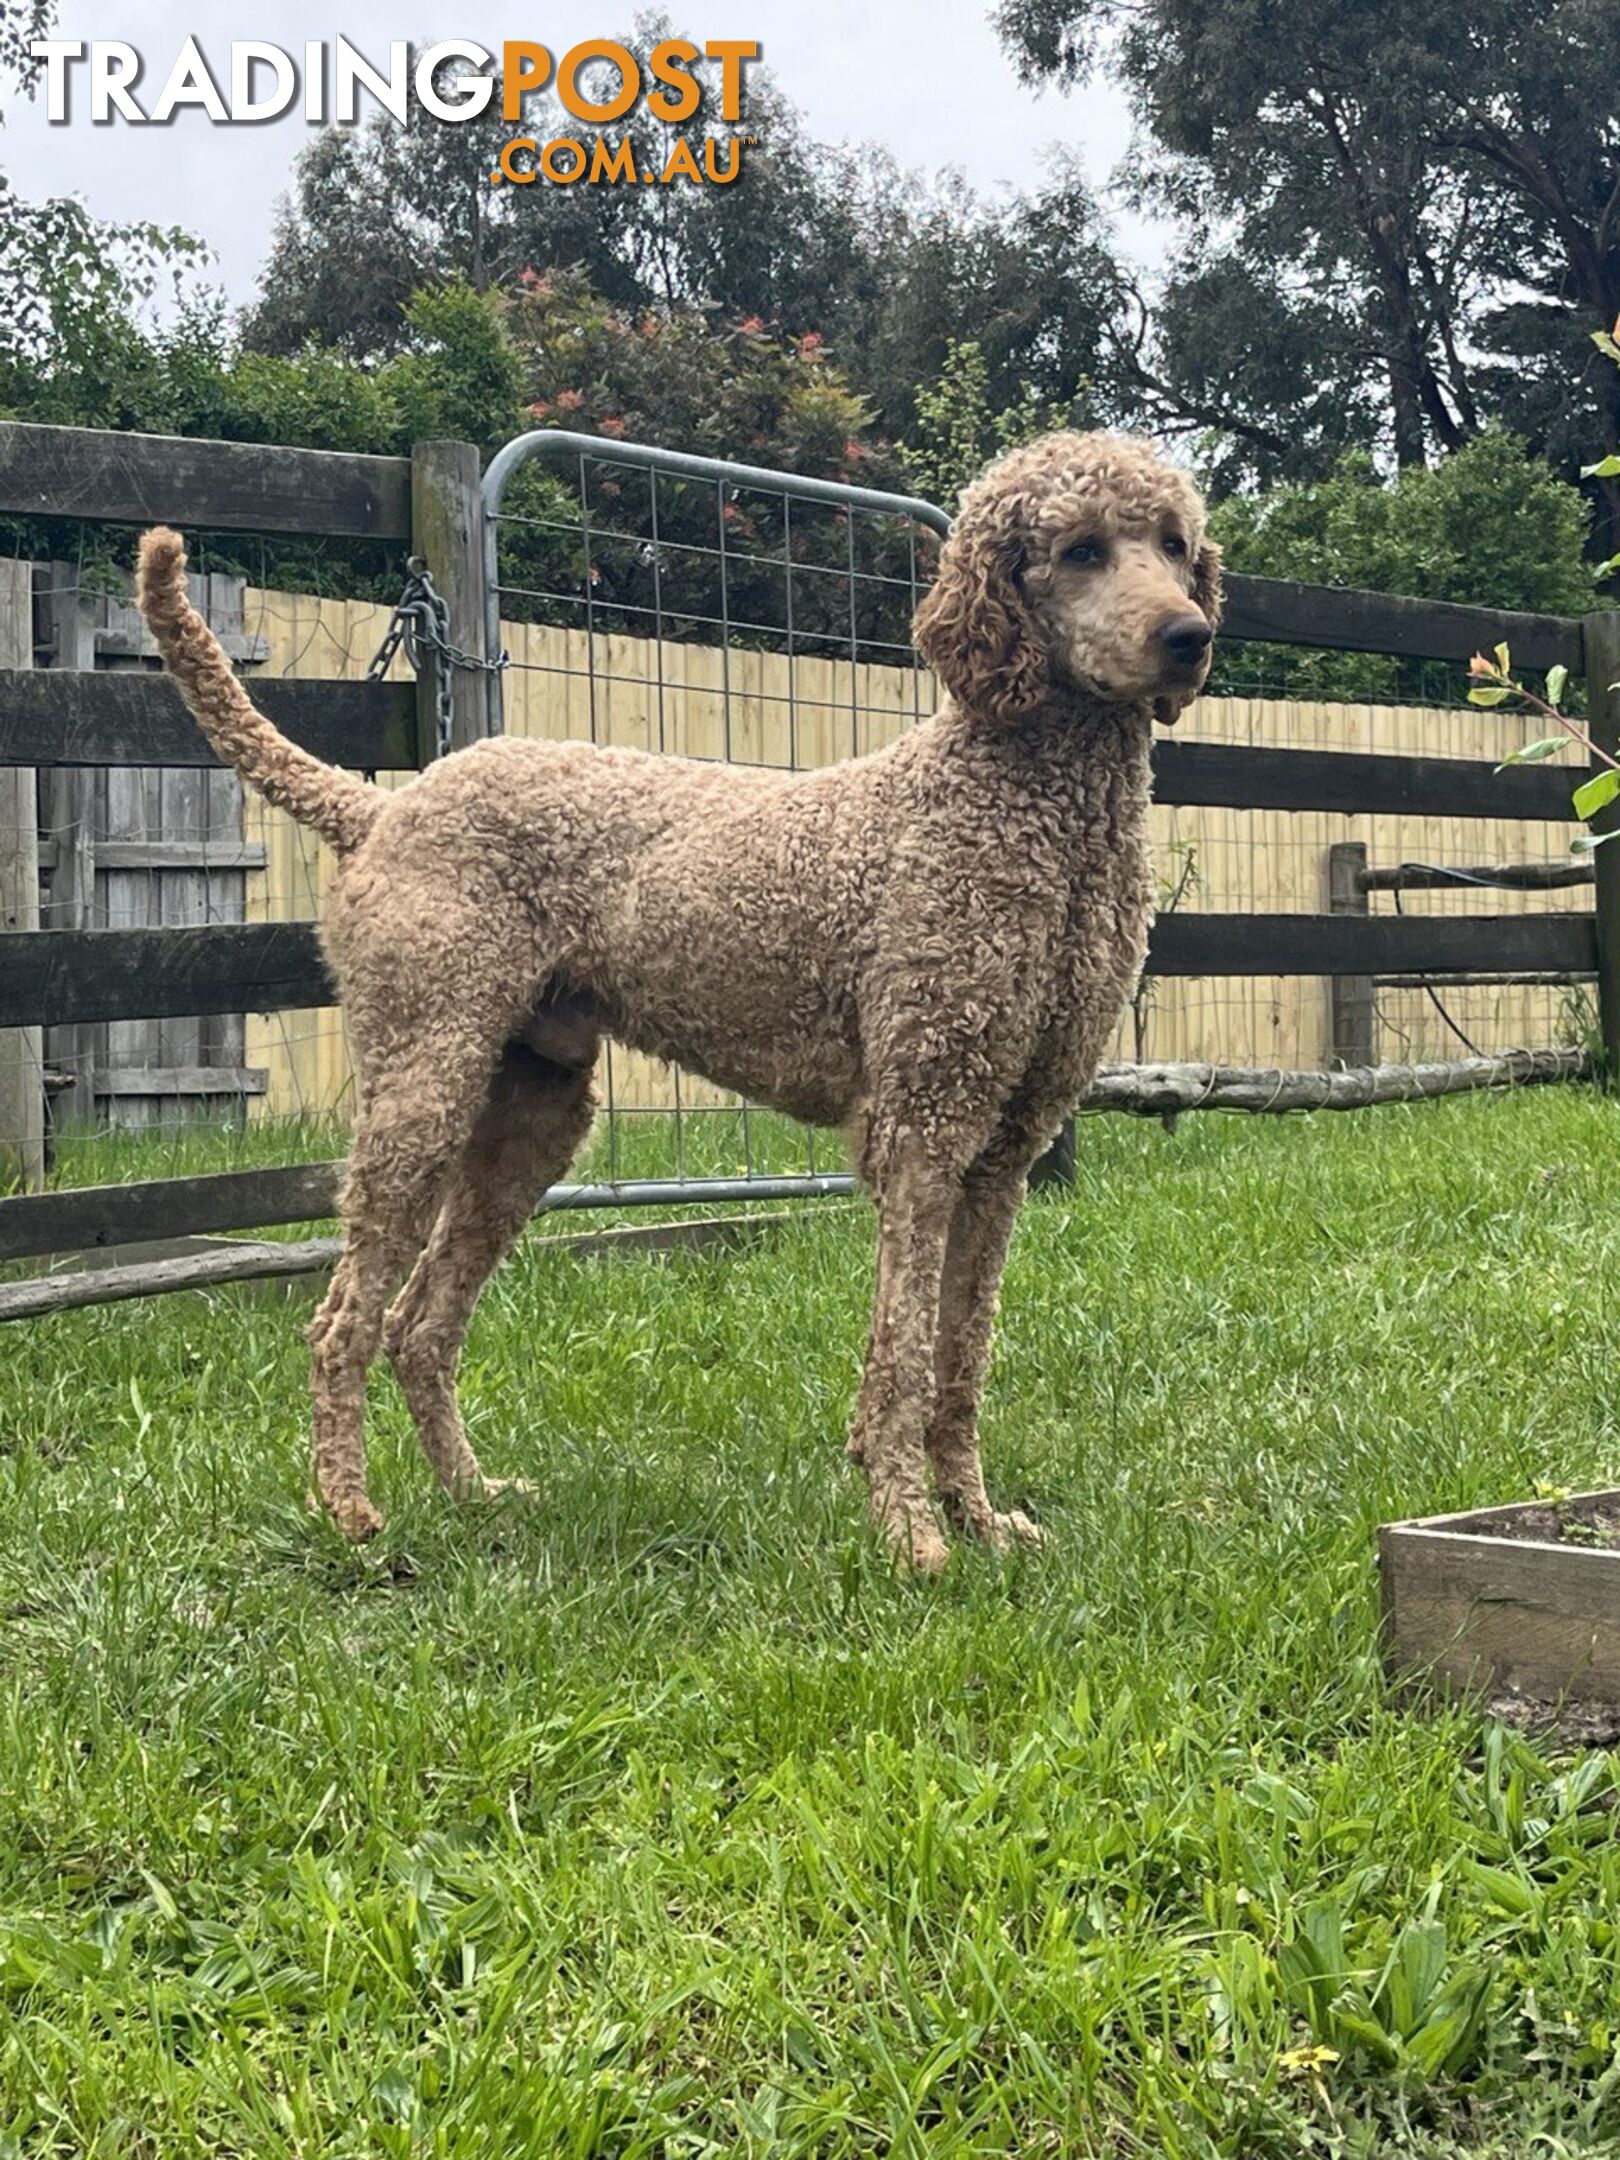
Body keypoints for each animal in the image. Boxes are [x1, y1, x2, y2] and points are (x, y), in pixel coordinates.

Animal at [139, 429, 1226, 1572]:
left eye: (1172, 543)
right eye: (1079, 550)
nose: (1189, 637)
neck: (1026, 818)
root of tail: (385, 806)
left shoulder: (1006, 1146)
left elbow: (961, 1358)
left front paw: (977, 1521)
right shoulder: (923, 1128)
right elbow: (902, 1356)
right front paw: (909, 1536)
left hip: (532, 1115)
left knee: (421, 1325)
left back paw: (475, 1496)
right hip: (423, 1086)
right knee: (344, 1321)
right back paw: (350, 1512)